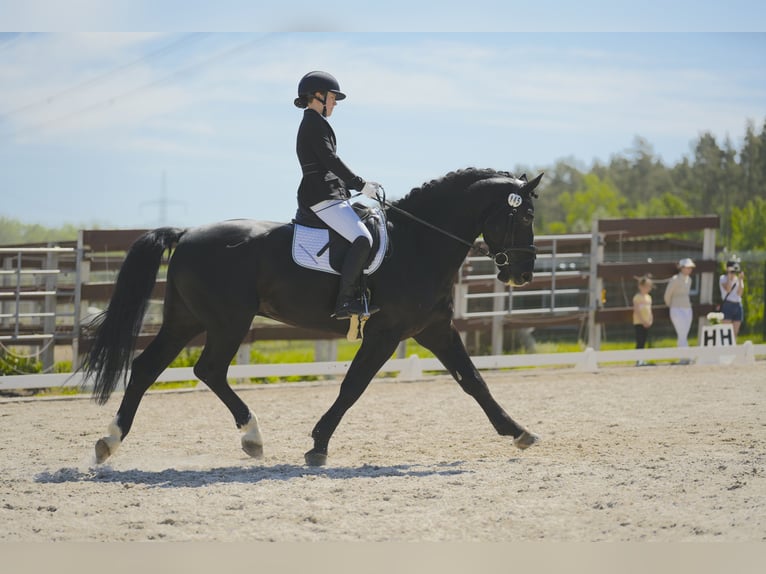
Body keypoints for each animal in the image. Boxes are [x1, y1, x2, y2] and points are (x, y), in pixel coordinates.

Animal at [83, 168, 543, 466]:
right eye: (524, 215)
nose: (522, 274)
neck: (419, 243)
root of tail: (187, 233)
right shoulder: (386, 333)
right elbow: (352, 386)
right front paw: (318, 445)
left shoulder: (435, 330)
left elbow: (474, 381)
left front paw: (518, 431)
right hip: (228, 321)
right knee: (208, 369)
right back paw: (252, 437)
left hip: (187, 320)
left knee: (147, 368)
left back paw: (109, 442)